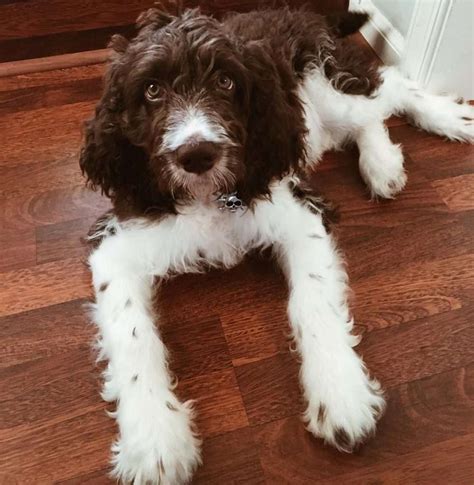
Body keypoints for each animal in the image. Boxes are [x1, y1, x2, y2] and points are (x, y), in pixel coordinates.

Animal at [80, 7, 474, 484]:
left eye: (226, 82)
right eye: (152, 89)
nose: (197, 155)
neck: (208, 198)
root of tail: (291, 11)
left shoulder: (298, 215)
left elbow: (312, 302)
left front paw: (341, 393)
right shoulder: (117, 245)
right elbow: (133, 334)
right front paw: (155, 440)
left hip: (325, 87)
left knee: (387, 87)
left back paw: (444, 121)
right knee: (364, 118)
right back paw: (383, 165)